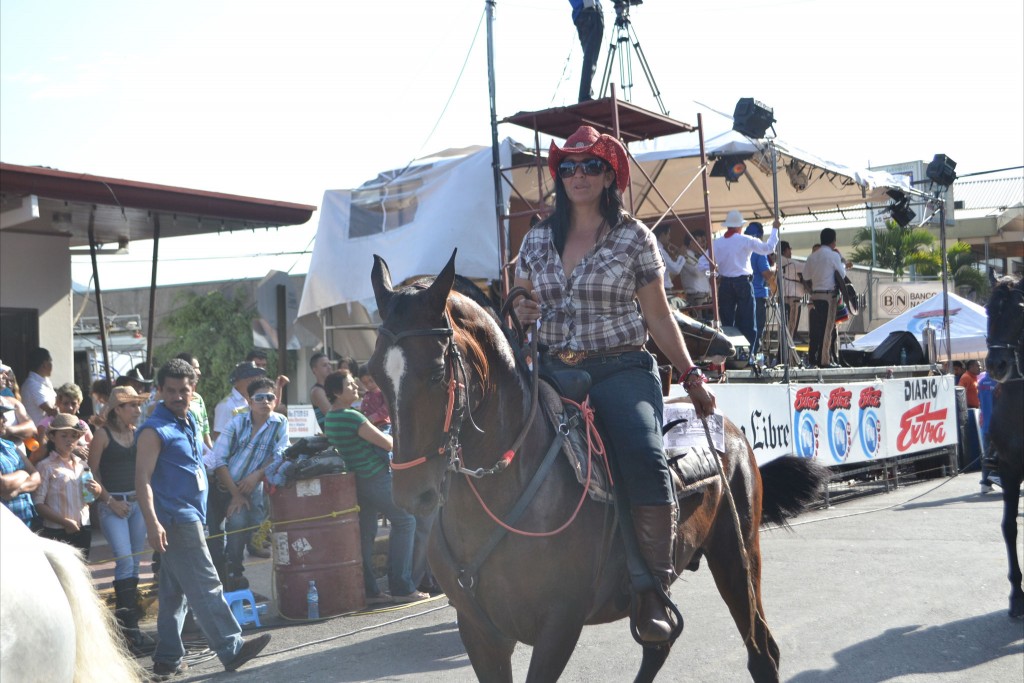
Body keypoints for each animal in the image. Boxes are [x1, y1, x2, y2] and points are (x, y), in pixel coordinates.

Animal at [366, 252, 823, 683]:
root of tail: (727, 425)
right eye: (374, 374)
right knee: (661, 646)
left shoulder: (559, 624)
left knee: (761, 652)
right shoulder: (479, 632)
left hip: (736, 558)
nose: (411, 491)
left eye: (437, 372)